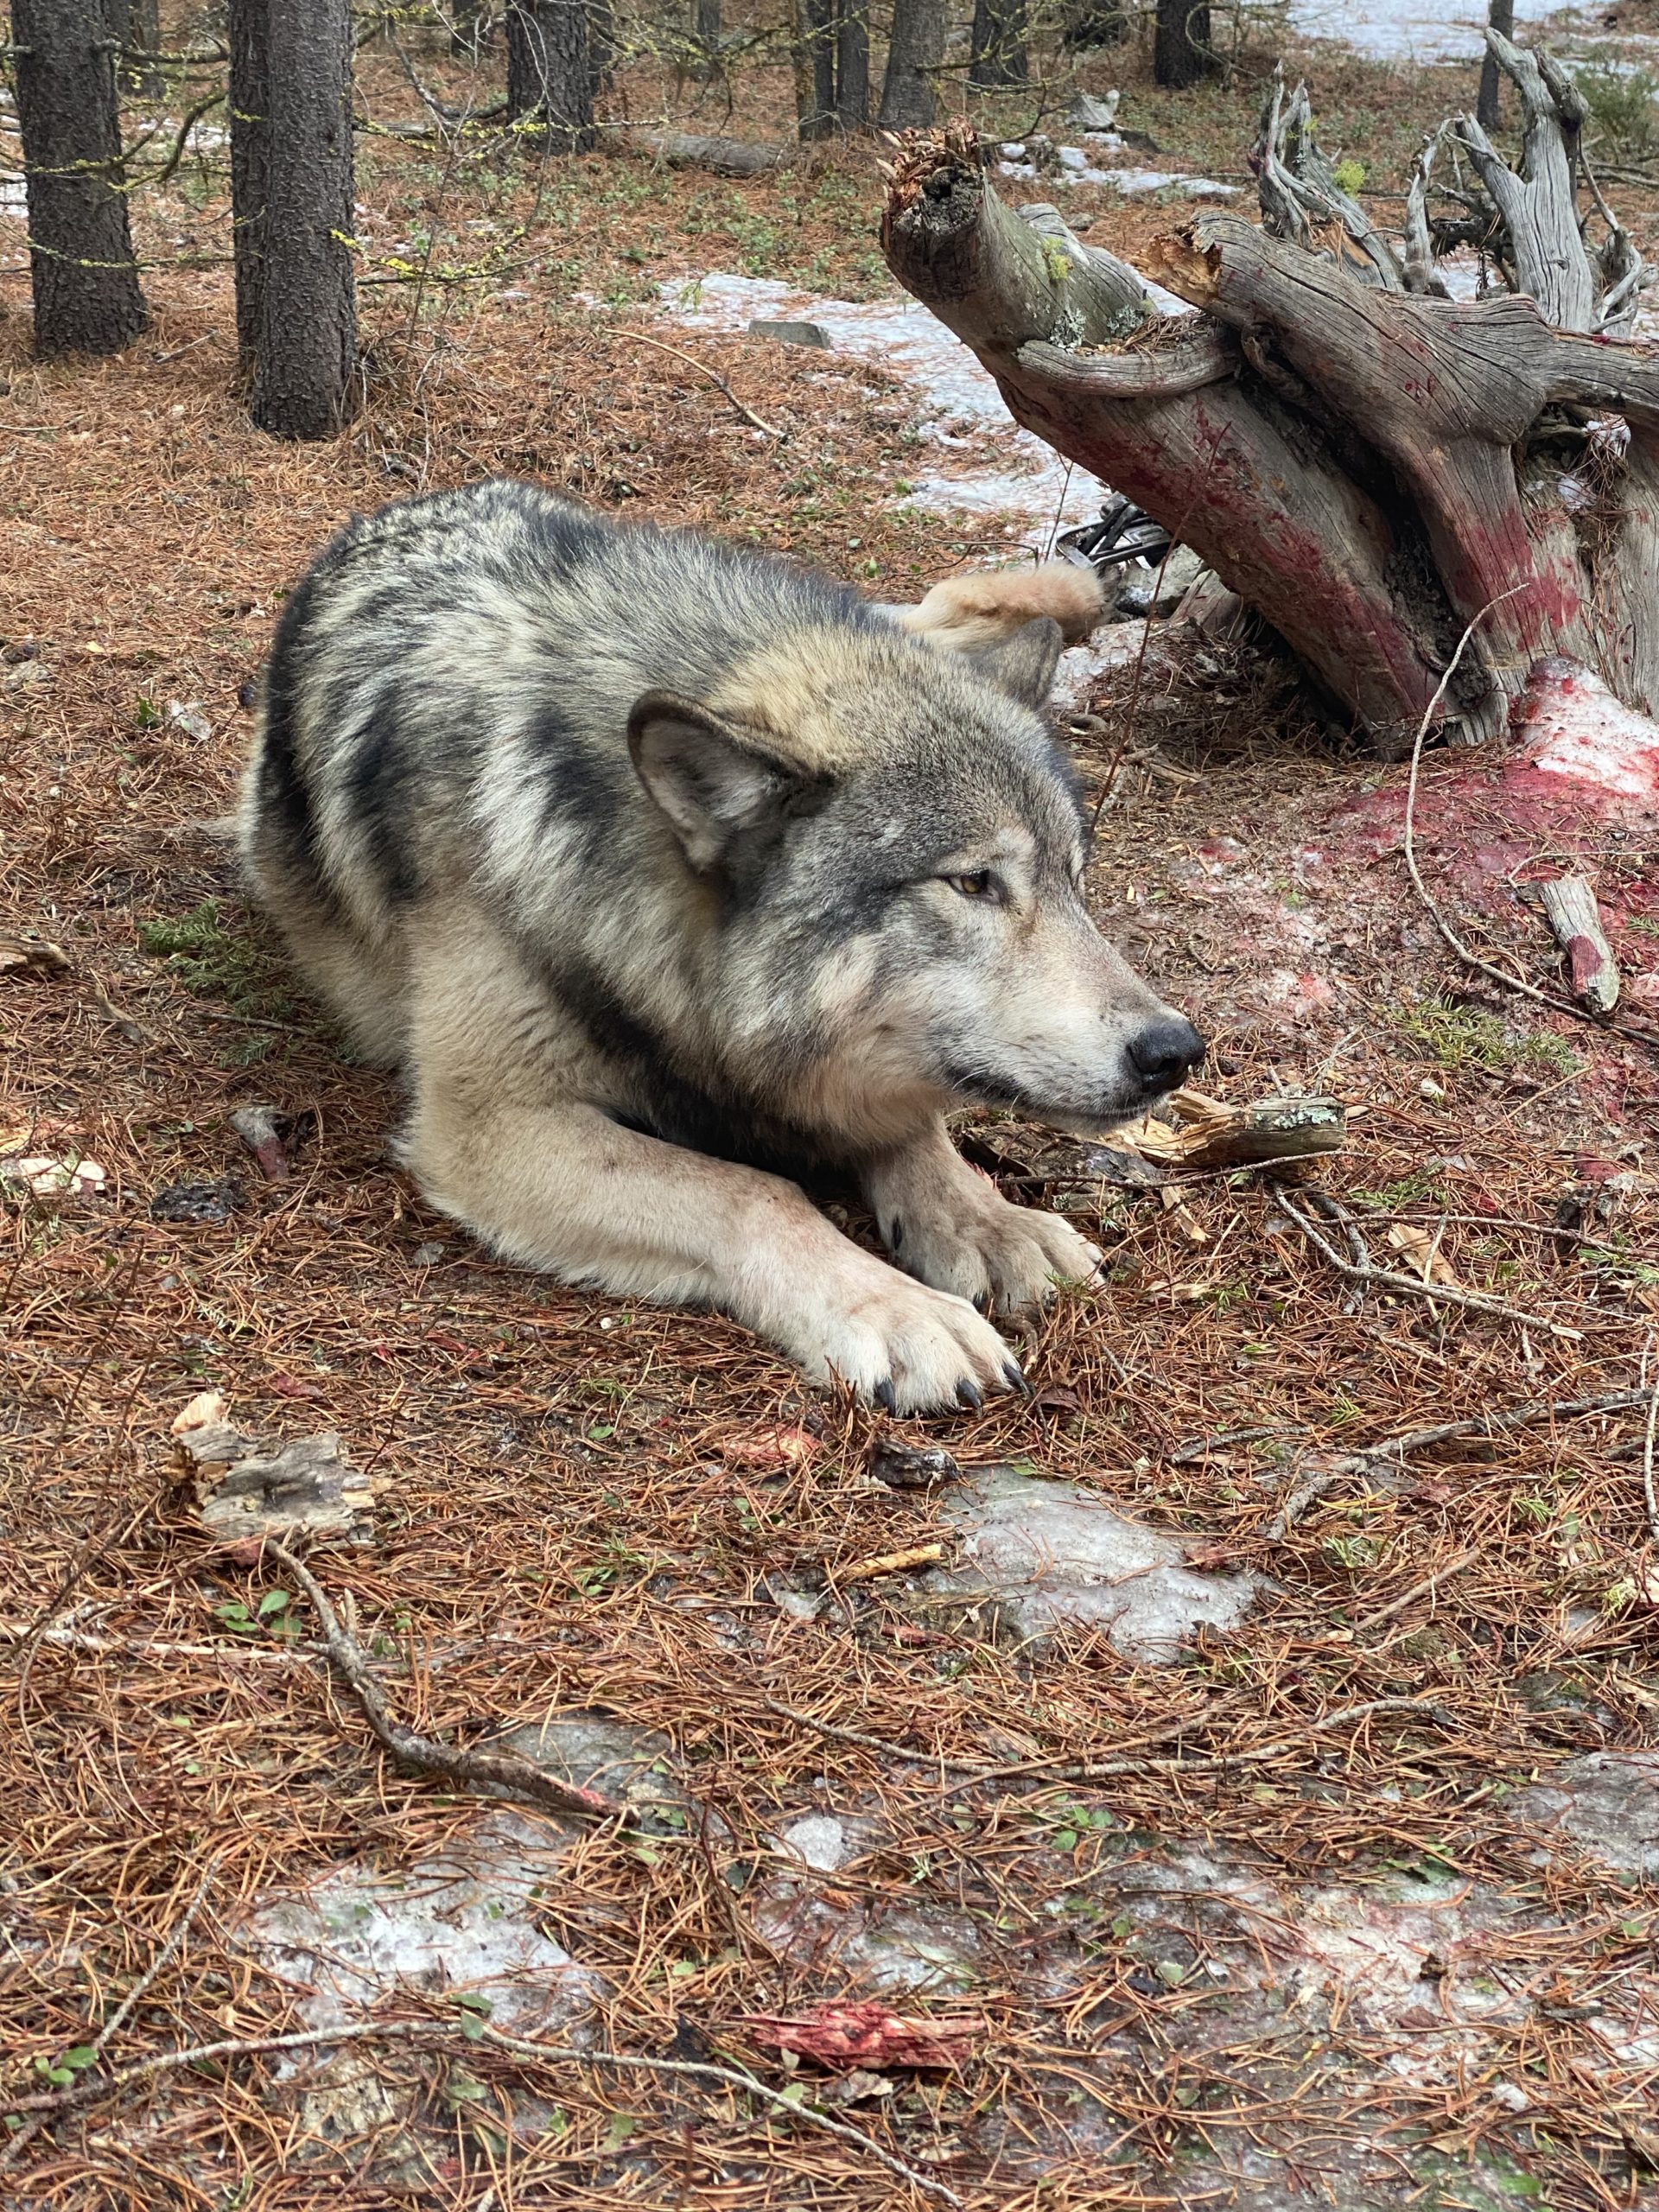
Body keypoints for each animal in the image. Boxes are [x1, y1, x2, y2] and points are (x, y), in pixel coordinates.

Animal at [239, 481, 1202, 1413]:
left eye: (1075, 878)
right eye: (974, 884)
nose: (1174, 1051)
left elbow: (916, 1129)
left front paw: (989, 1221)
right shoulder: (488, 1124)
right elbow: (754, 1190)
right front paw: (897, 1308)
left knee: (937, 602)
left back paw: (1068, 592)